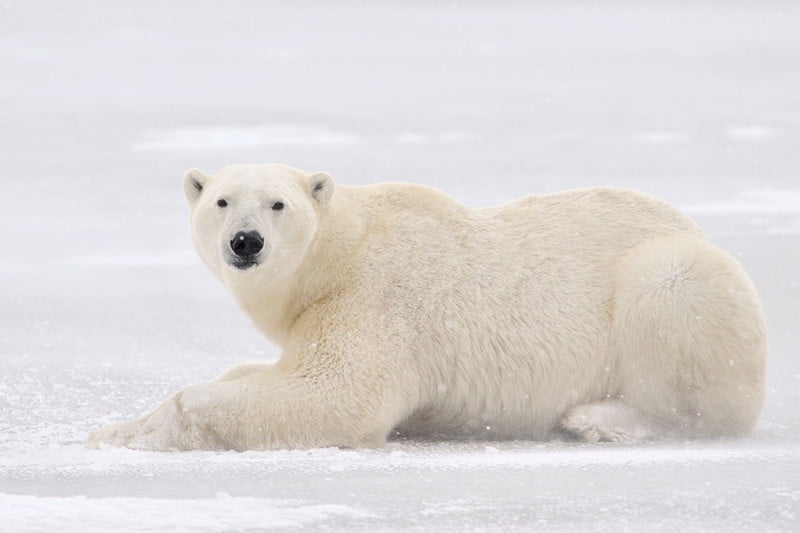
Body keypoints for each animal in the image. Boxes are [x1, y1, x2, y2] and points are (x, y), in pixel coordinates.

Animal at [87, 164, 768, 450]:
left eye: (278, 204)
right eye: (222, 201)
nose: (245, 241)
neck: (341, 252)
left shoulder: (376, 299)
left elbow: (337, 396)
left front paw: (125, 434)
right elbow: (255, 373)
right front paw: (118, 425)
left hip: (678, 279)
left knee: (678, 316)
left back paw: (600, 419)